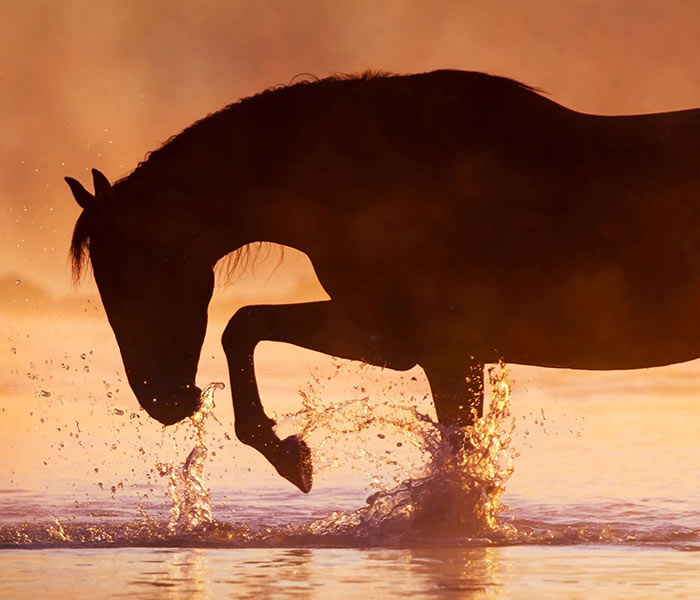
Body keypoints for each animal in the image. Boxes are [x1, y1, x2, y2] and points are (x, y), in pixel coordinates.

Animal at [65, 69, 700, 493]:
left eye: (133, 273)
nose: (163, 401)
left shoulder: (428, 344)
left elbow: (241, 325)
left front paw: (287, 453)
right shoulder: (417, 344)